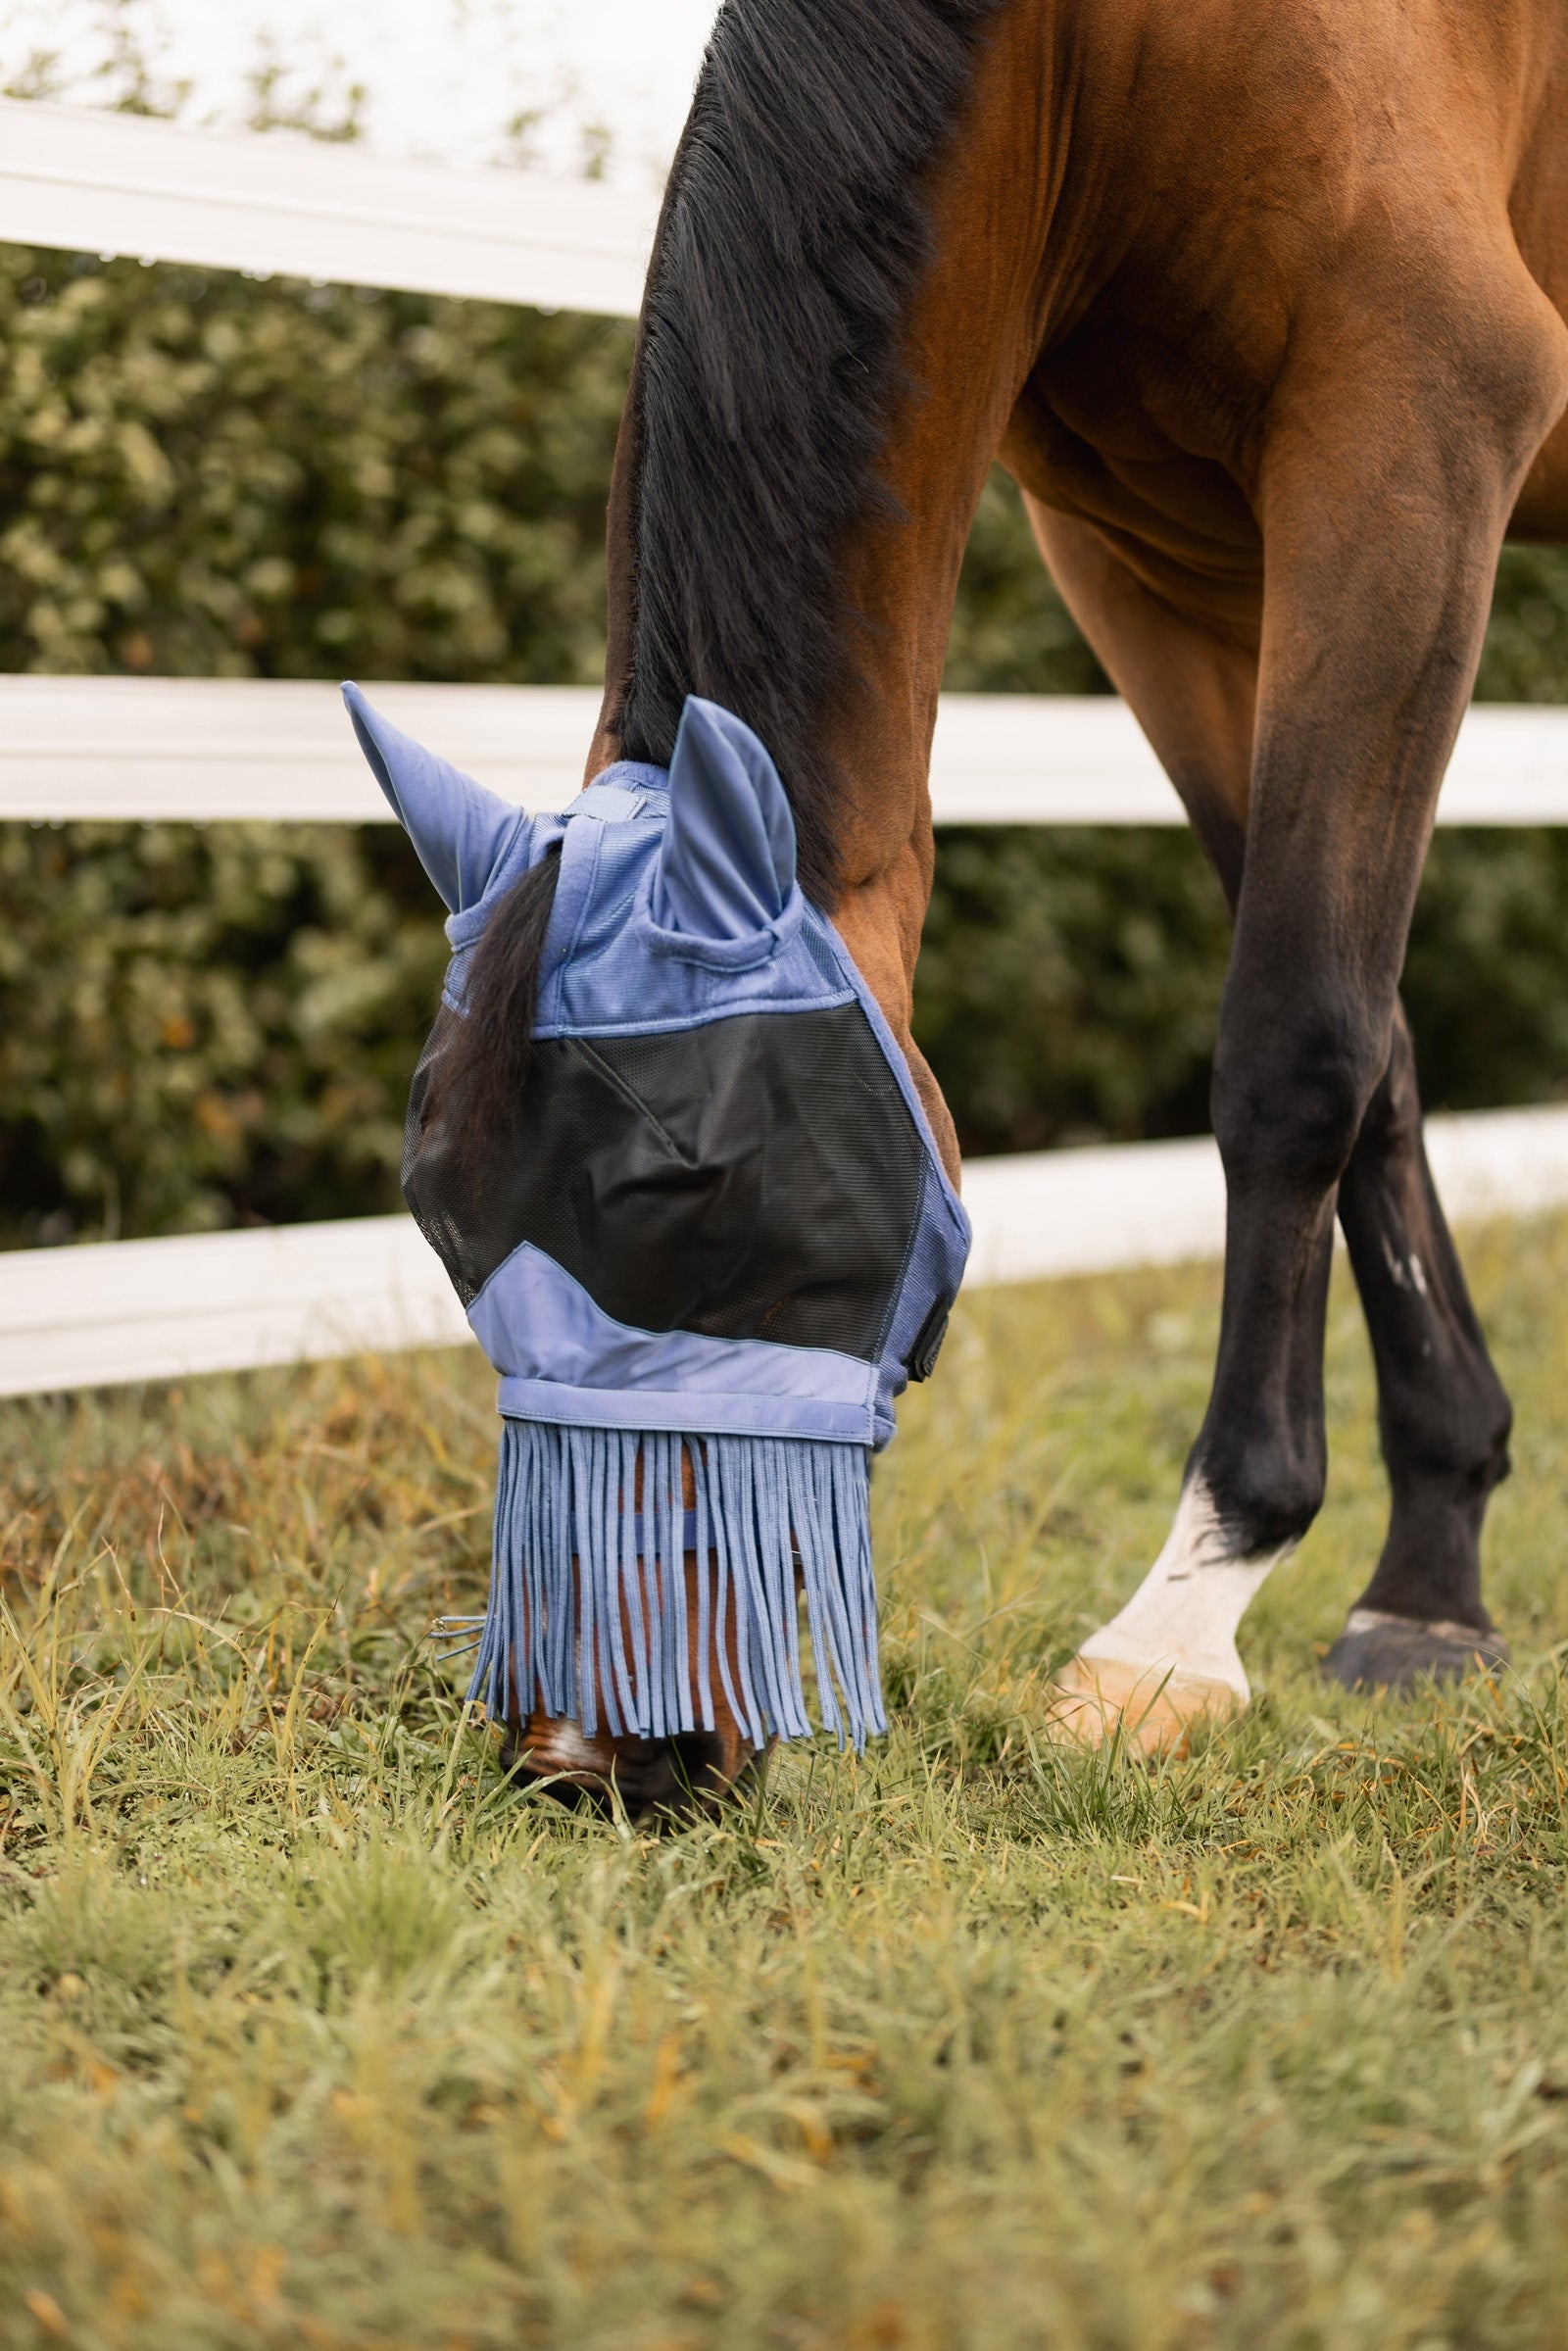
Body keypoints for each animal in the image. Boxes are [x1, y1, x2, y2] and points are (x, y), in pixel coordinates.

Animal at [415, 0, 1568, 1808]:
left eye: (725, 1213)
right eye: (443, 1216)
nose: (586, 1752)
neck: (1112, 49)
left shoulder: (1415, 436)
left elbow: (1298, 1037)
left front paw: (1179, 1626)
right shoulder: (1150, 562)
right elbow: (1374, 1045)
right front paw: (1429, 1582)